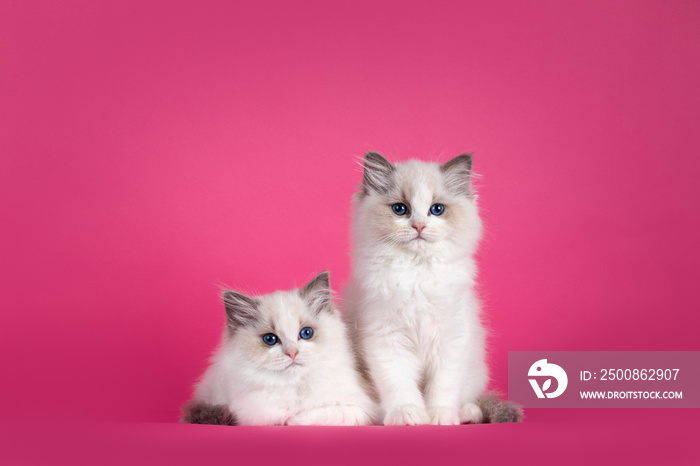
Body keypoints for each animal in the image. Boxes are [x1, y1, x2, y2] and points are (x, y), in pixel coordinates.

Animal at [180, 270, 378, 426]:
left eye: (306, 333)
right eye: (270, 339)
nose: (292, 353)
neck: (295, 388)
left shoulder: (361, 410)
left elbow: (317, 415)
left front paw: (292, 419)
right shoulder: (251, 413)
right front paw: (286, 418)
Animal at [348, 153, 524, 426]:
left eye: (437, 209)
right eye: (400, 209)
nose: (419, 226)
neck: (417, 275)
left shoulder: (451, 340)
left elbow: (443, 386)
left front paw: (440, 416)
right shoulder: (386, 340)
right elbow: (399, 385)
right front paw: (408, 414)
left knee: (470, 398)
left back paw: (466, 413)